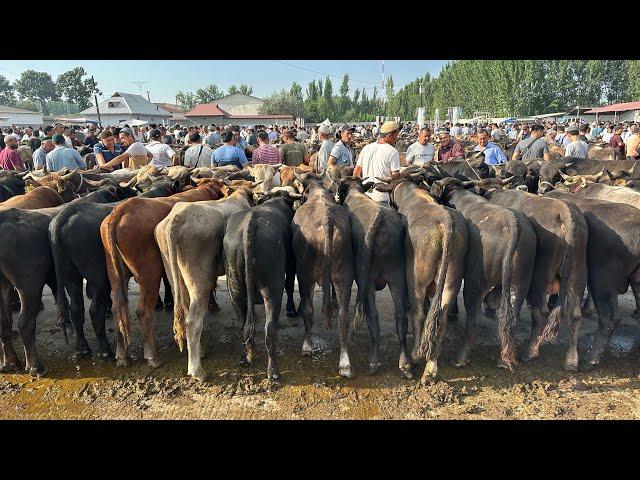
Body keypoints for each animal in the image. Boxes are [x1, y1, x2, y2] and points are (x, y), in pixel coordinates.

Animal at [100, 178, 230, 370]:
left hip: (116, 274)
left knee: (118, 308)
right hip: (149, 276)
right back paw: (152, 356)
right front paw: (213, 305)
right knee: (143, 311)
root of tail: (120, 211)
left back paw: (122, 355)